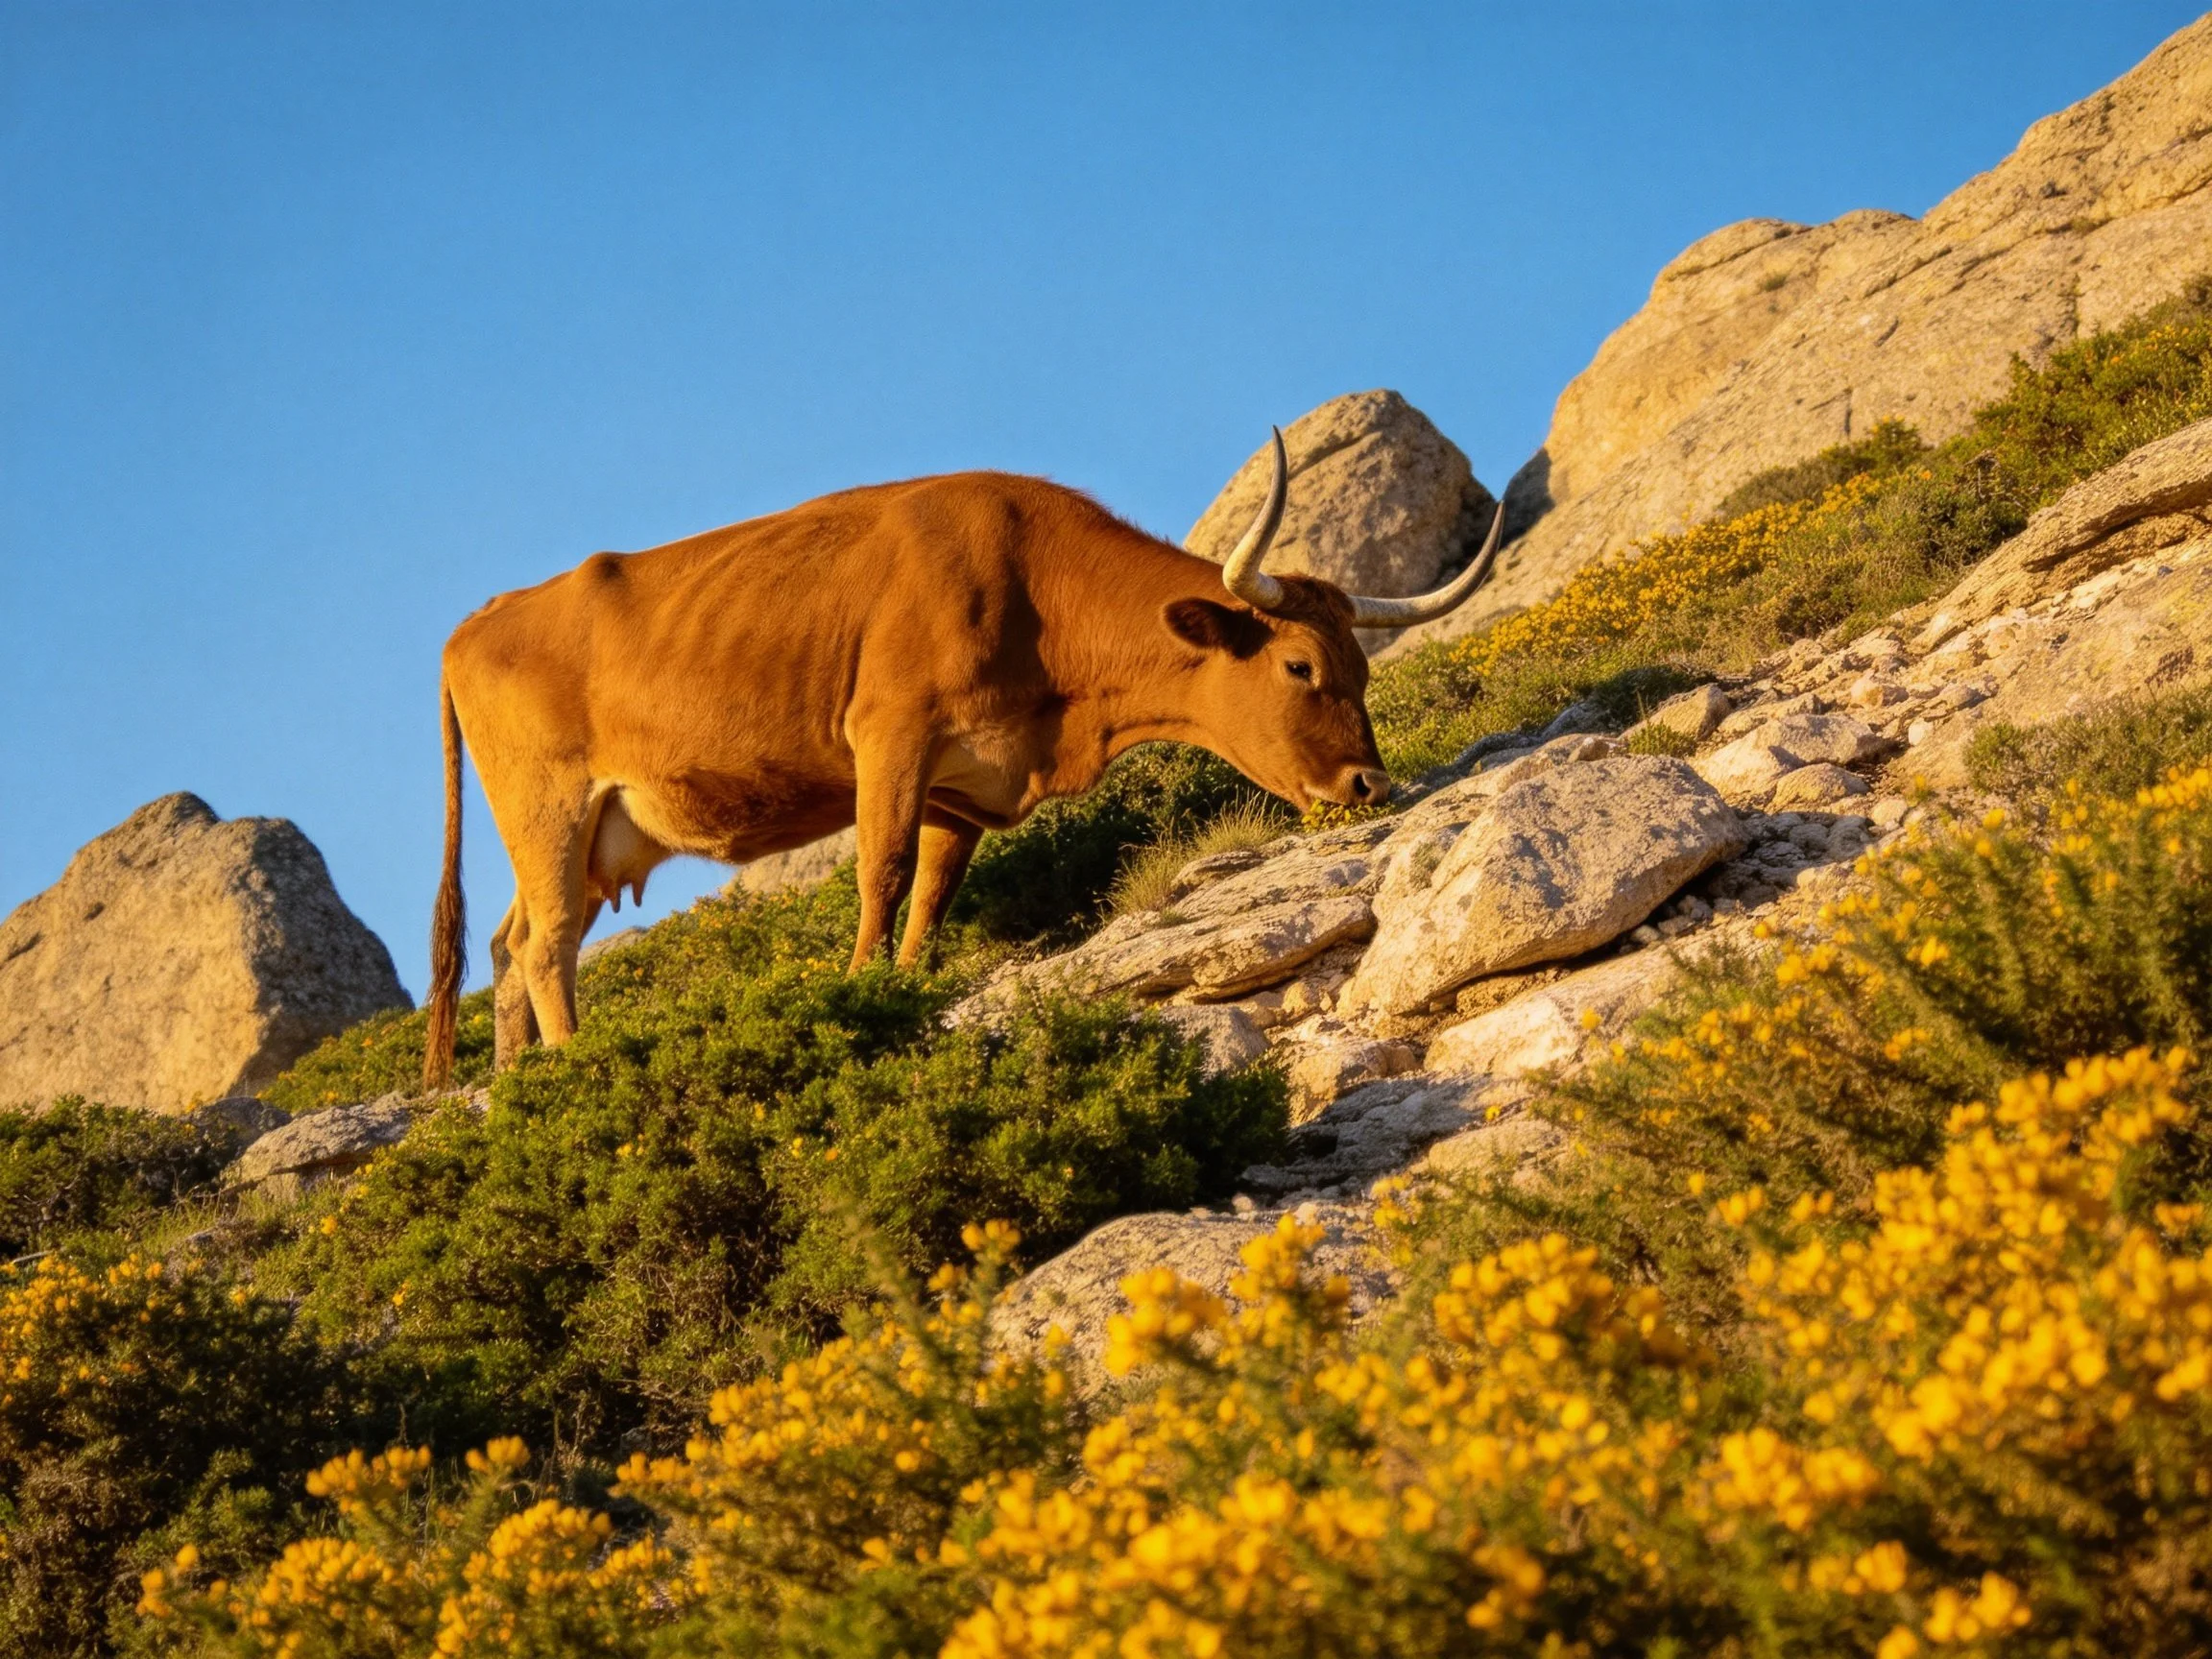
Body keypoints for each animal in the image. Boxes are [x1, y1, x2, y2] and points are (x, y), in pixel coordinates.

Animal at [420, 431, 1501, 1087]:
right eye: (1299, 665)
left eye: (1361, 665)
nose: (1368, 783)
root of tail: (478, 620)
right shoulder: (890, 736)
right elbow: (882, 871)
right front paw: (857, 988)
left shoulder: (964, 785)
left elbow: (932, 897)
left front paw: (904, 990)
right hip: (550, 806)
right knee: (548, 945)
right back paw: (572, 1065)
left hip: (590, 831)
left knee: (508, 949)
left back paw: (518, 1085)